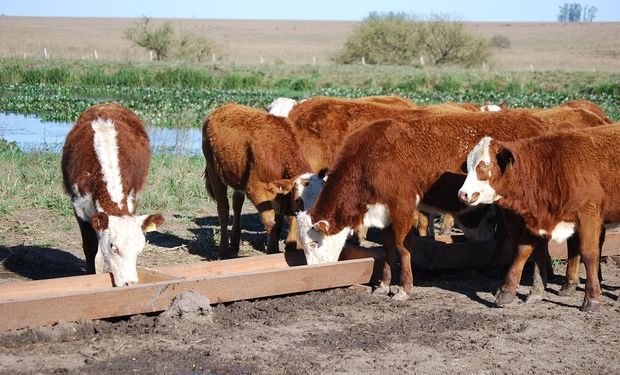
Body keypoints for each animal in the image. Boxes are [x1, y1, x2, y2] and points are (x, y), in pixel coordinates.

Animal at [61, 103, 163, 288]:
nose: (130, 282)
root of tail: (106, 105)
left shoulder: (131, 200)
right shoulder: (78, 206)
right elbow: (90, 247)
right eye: (113, 247)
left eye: (139, 249)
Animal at [458, 124, 620, 312]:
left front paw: (592, 298)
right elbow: (523, 251)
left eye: (485, 165)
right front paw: (507, 292)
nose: (463, 194)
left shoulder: (589, 214)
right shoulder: (535, 218)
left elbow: (589, 254)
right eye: (468, 166)